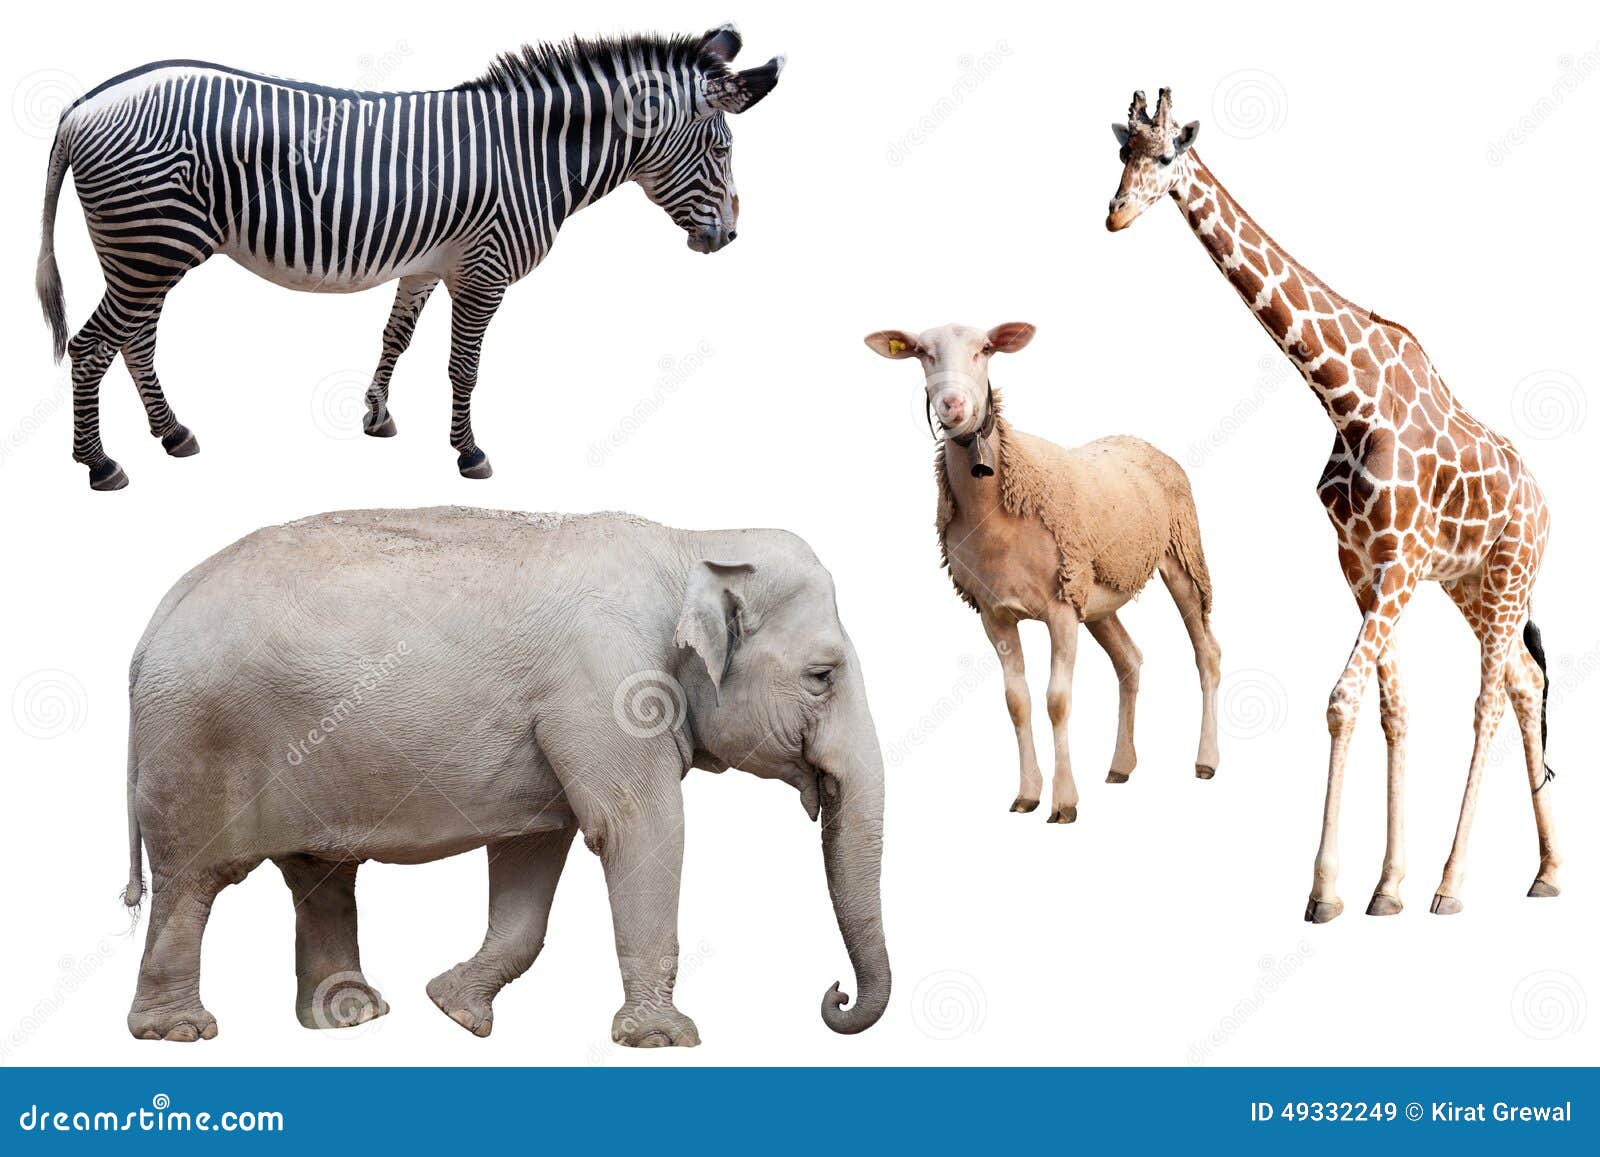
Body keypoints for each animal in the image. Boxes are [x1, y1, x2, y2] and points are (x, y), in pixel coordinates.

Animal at [36, 24, 783, 489]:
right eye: (722, 148)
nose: (729, 239)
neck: (535, 154)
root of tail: (83, 105)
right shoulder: (484, 271)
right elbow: (464, 367)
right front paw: (469, 451)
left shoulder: (428, 264)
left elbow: (396, 337)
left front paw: (377, 417)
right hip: (150, 247)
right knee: (92, 346)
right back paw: (99, 463)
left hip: (146, 253)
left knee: (135, 343)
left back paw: (172, 434)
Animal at [118, 507, 889, 1046]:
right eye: (823, 676)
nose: (834, 996)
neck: (693, 542)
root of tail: (153, 621)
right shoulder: (606, 688)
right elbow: (641, 828)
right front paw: (663, 1039)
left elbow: (534, 850)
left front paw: (454, 1010)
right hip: (194, 742)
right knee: (191, 880)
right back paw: (179, 1032)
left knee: (321, 874)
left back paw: (351, 1017)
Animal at [866, 322, 1222, 823]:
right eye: (921, 352)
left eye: (984, 350)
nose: (952, 405)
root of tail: (1141, 442)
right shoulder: (995, 612)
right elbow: (1017, 703)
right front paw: (1027, 794)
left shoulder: (1059, 609)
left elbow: (1057, 701)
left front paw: (1065, 801)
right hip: (1096, 596)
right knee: (1129, 660)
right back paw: (1121, 764)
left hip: (1181, 557)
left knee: (1207, 653)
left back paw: (1206, 760)